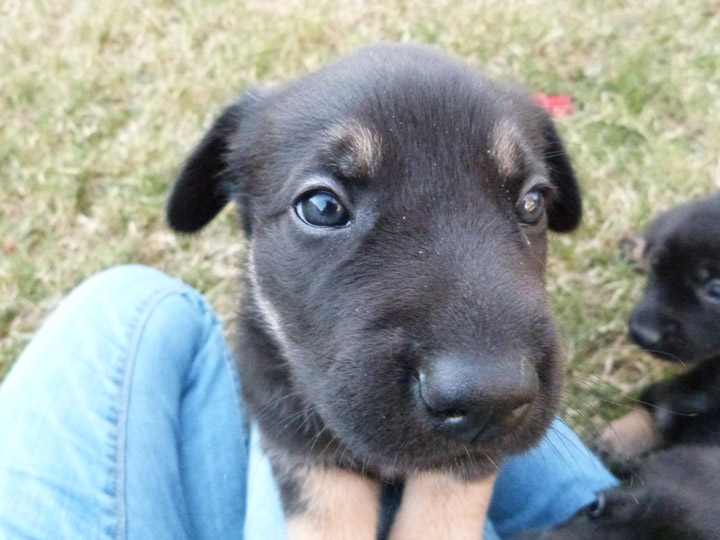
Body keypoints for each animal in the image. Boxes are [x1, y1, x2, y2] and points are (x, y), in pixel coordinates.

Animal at [167, 43, 580, 540]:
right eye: (321, 207)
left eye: (532, 202)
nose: (490, 402)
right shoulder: (299, 447)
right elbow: (326, 520)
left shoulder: (465, 467)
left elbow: (442, 514)